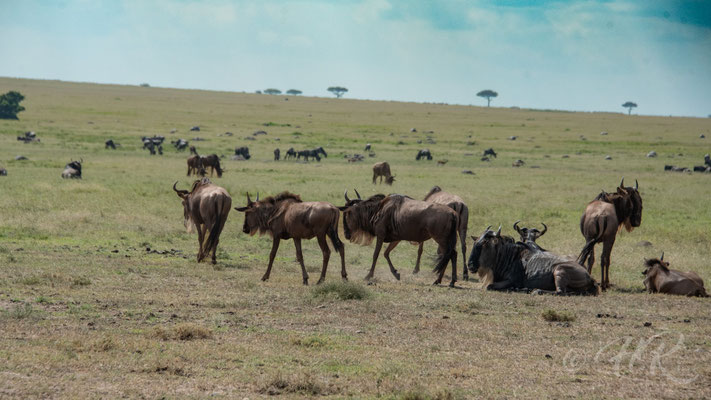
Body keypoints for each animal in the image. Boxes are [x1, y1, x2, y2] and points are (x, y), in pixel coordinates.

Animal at [468, 226, 598, 295]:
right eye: (474, 243)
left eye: (483, 244)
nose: (470, 266)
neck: (508, 257)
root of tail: (589, 276)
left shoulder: (512, 281)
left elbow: (490, 286)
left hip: (559, 270)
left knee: (560, 292)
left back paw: (536, 290)